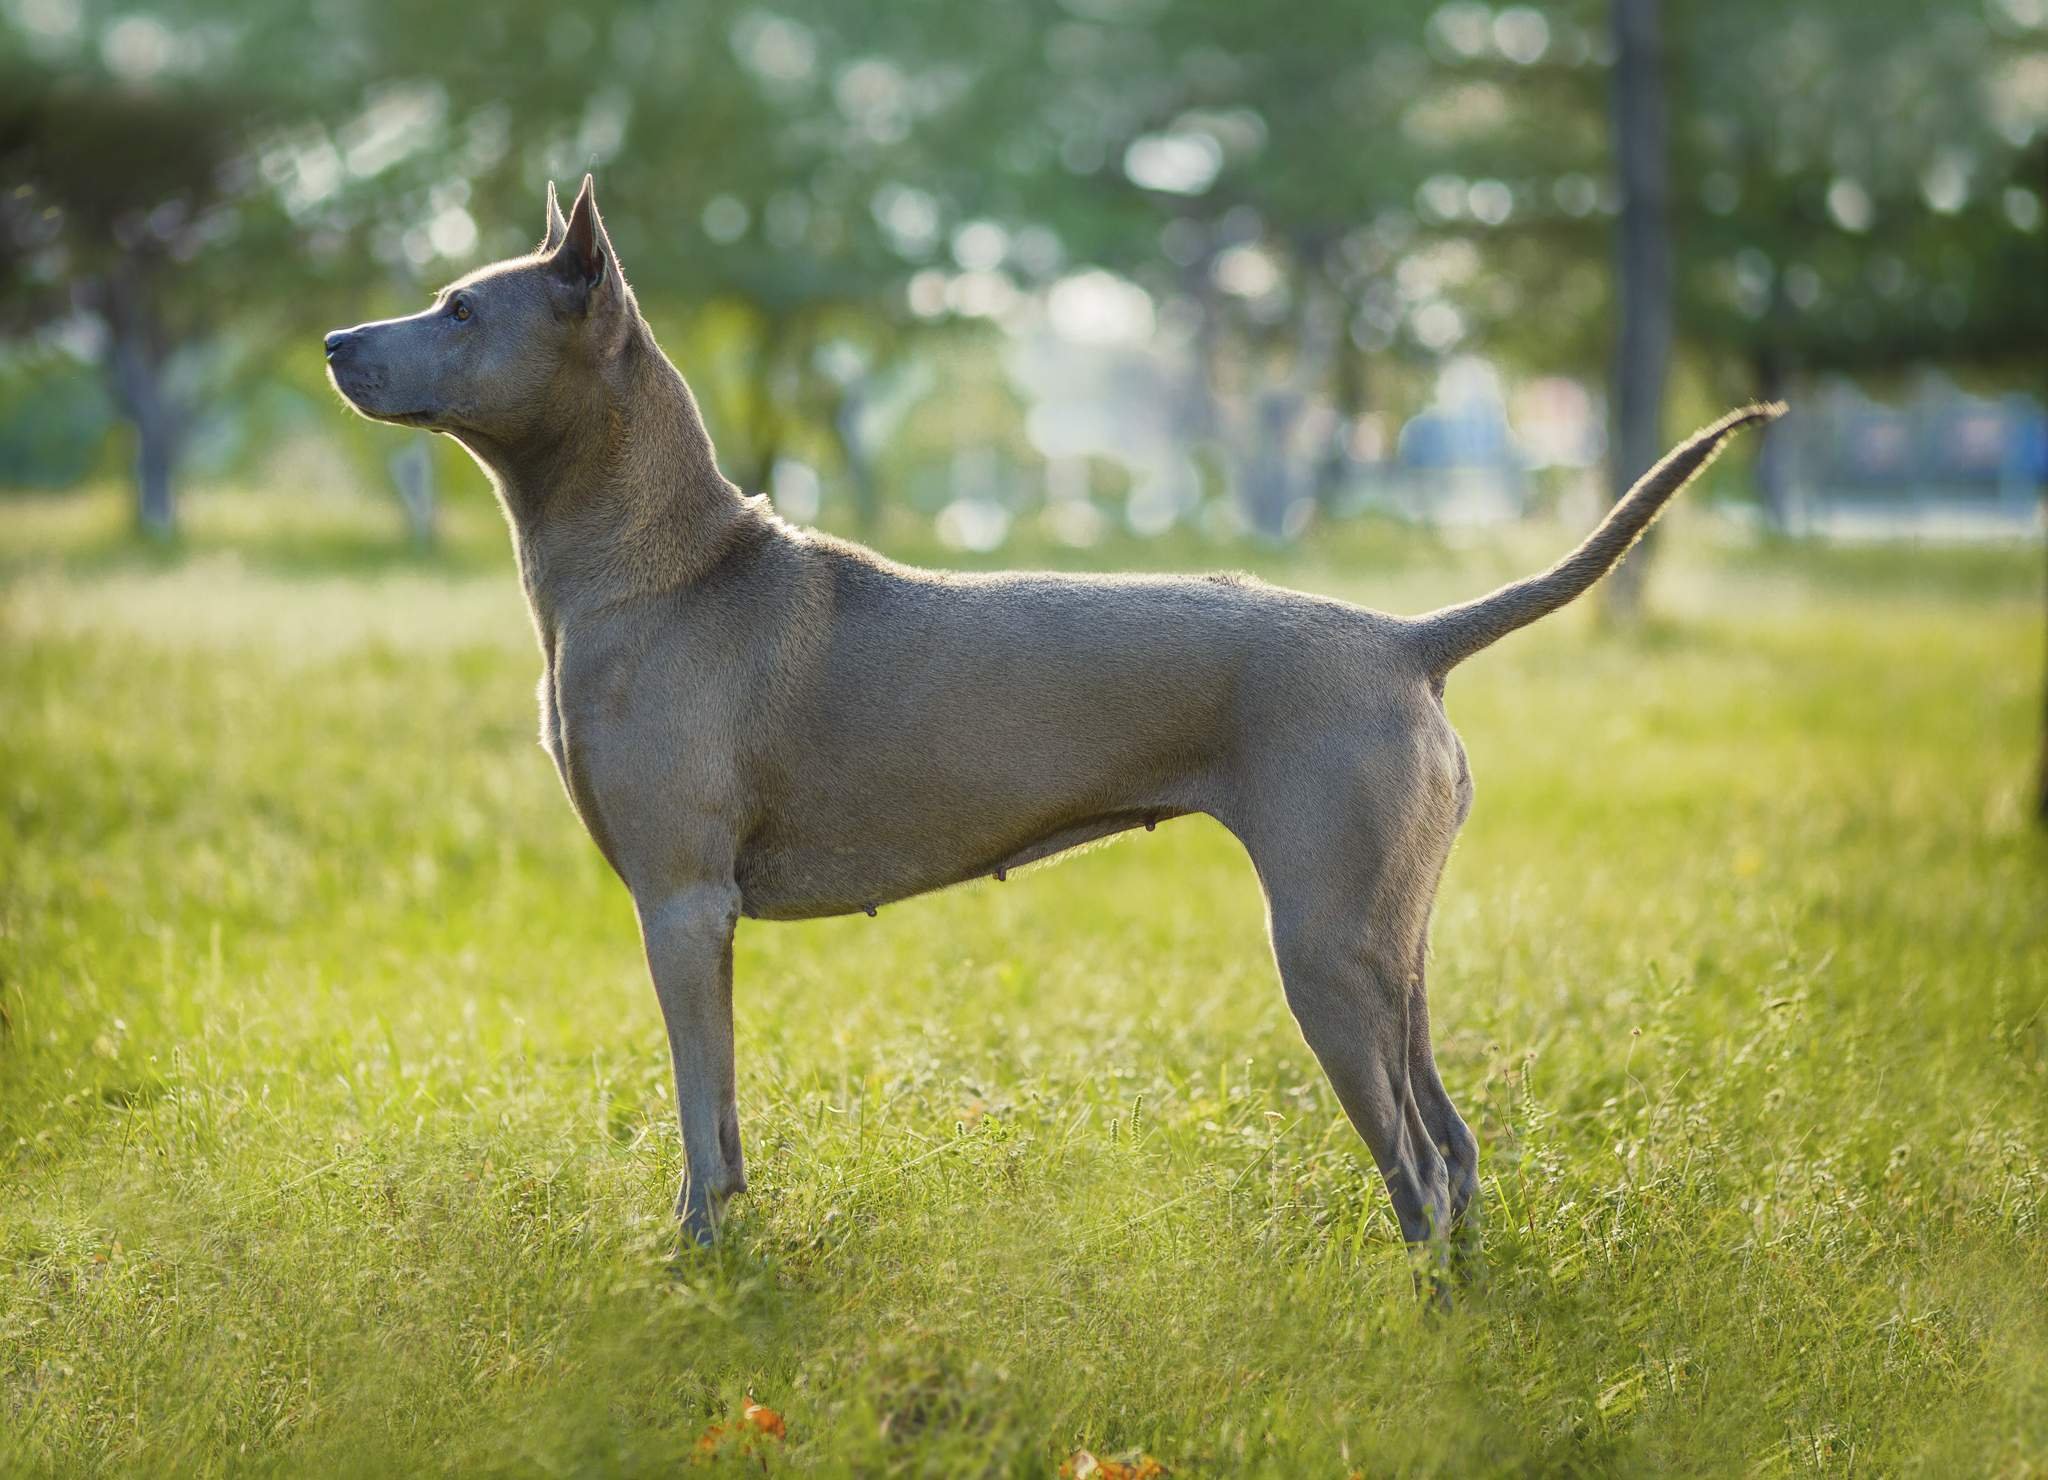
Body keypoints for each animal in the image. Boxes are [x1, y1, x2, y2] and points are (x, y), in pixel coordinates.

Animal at [327, 179, 1785, 1252]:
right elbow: (724, 1113)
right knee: (1456, 1149)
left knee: (1418, 1168)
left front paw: (691, 1258)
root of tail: (1401, 639)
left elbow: (695, 1110)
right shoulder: (706, 919)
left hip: (1323, 949)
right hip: (1389, 942)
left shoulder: (681, 902)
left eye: (459, 306)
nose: (337, 341)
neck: (664, 563)